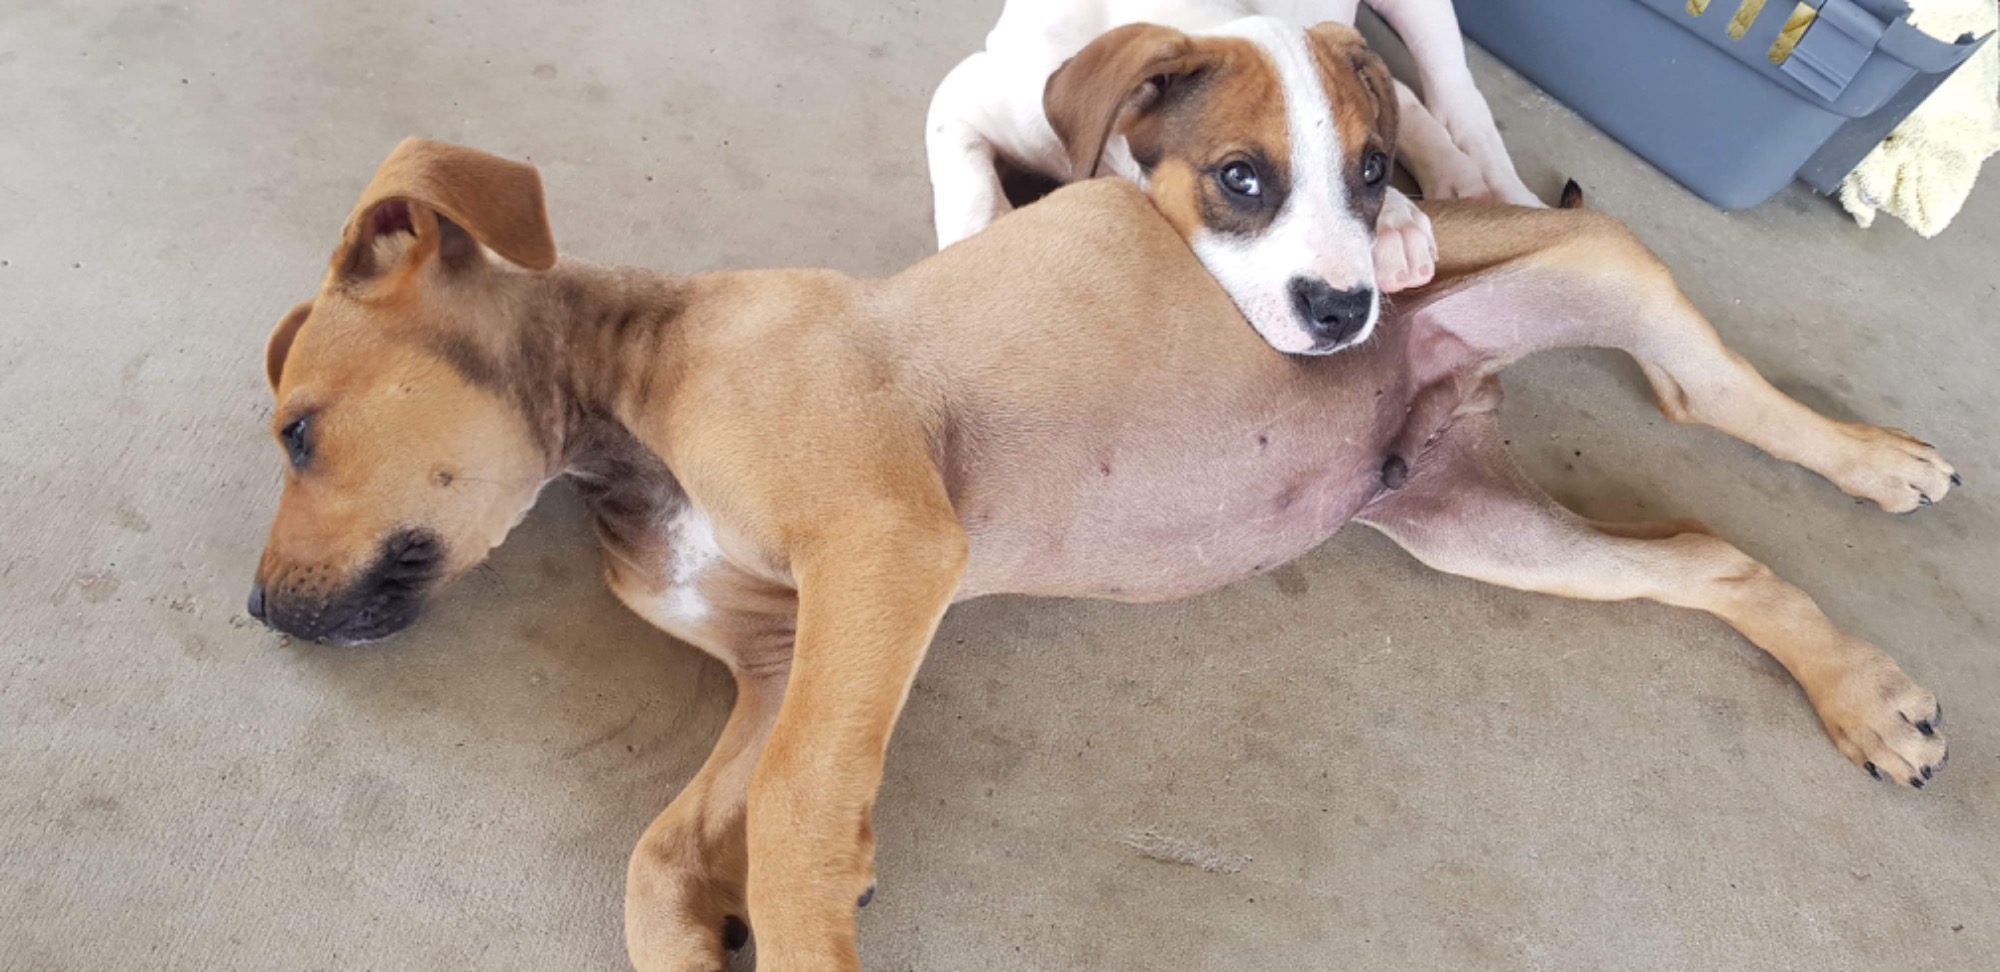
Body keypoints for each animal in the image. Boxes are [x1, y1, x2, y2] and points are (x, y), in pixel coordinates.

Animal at [251, 132, 1953, 968]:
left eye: (298, 433)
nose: (261, 610)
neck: (623, 409)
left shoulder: (882, 552)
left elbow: (797, 815)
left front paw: (793, 912)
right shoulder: (787, 657)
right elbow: (665, 853)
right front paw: (699, 917)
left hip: (1571, 266)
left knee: (1697, 382)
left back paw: (1880, 461)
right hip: (1467, 524)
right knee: (1707, 556)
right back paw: (1864, 697)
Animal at [926, 1, 1542, 346]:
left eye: (1372, 170)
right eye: (1239, 177)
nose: (1342, 312)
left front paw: (1394, 215)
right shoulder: (964, 98)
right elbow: (970, 197)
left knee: (1452, 90)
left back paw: (1490, 185)